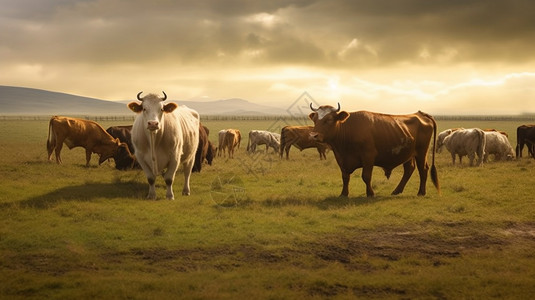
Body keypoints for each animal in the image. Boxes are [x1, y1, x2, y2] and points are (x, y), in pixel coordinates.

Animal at [310, 104, 440, 198]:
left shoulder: (368, 157)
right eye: (315, 120)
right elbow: (345, 177)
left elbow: (366, 176)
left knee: (423, 169)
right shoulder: (342, 159)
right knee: (409, 169)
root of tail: (421, 114)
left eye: (329, 119)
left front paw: (370, 193)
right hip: (408, 154)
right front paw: (343, 194)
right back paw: (397, 191)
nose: (313, 135)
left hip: (421, 153)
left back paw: (421, 192)